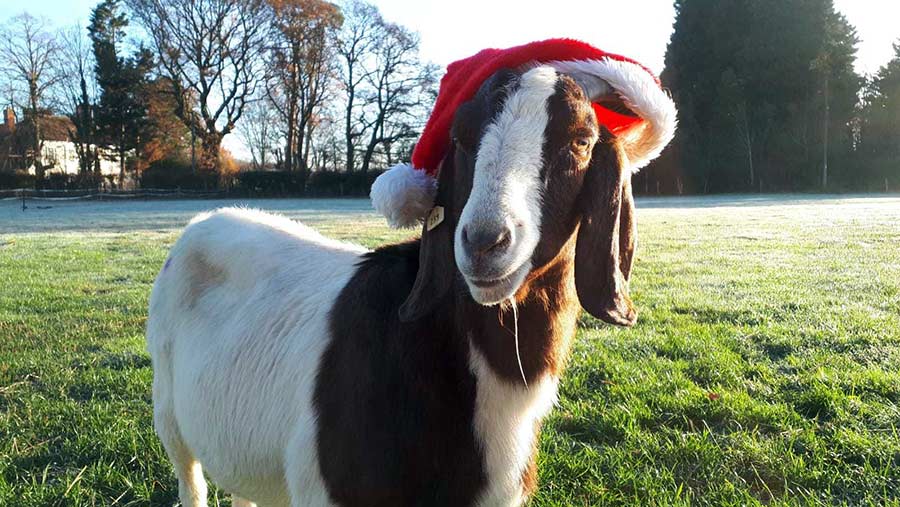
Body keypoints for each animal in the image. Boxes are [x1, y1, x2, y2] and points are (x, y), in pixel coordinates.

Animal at [144, 64, 676, 507]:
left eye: (581, 141)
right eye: (461, 138)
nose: (484, 242)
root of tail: (208, 218)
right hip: (169, 414)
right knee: (189, 477)